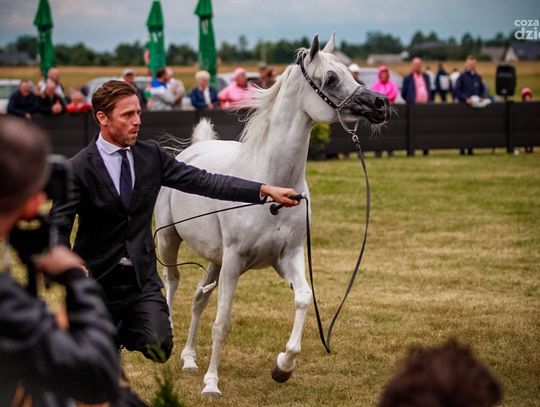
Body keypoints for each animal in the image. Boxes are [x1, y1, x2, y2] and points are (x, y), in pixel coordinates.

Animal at [154, 33, 390, 397]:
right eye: (331, 78)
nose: (380, 103)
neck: (271, 187)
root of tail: (192, 150)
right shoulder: (234, 263)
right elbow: (222, 322)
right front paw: (212, 383)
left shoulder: (287, 258)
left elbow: (304, 299)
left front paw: (283, 366)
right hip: (169, 240)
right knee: (172, 285)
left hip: (214, 259)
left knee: (197, 298)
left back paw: (190, 360)